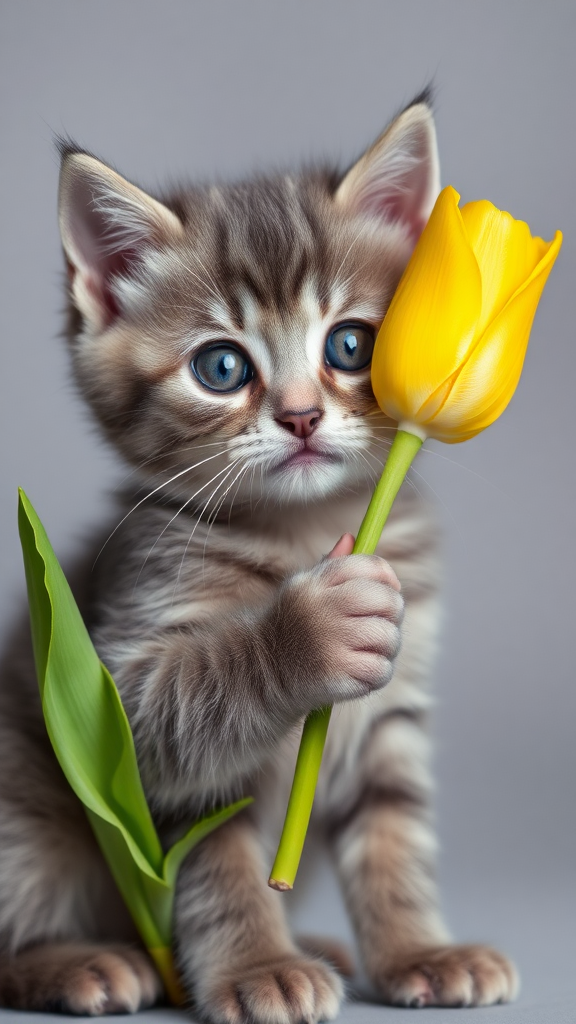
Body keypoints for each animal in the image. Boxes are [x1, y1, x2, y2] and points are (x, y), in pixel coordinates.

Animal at [0, 94, 516, 1015]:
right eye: (220, 366)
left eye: (349, 346)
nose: (303, 416)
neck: (302, 531)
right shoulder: (130, 692)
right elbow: (215, 837)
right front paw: (257, 968)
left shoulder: (395, 704)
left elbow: (393, 832)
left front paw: (419, 950)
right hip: (27, 799)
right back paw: (79, 963)